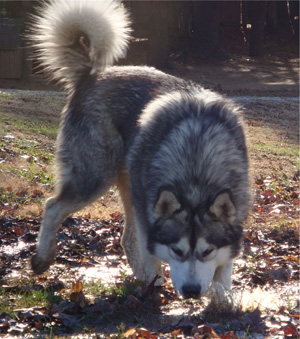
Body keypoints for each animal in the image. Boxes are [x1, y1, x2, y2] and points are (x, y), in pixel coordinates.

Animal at [30, 0, 251, 298]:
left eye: (207, 251)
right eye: (177, 250)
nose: (192, 290)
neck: (196, 168)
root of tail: (92, 75)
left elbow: (223, 271)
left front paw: (221, 297)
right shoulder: (150, 220)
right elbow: (152, 255)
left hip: (129, 188)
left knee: (126, 240)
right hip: (97, 178)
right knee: (53, 206)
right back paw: (44, 258)